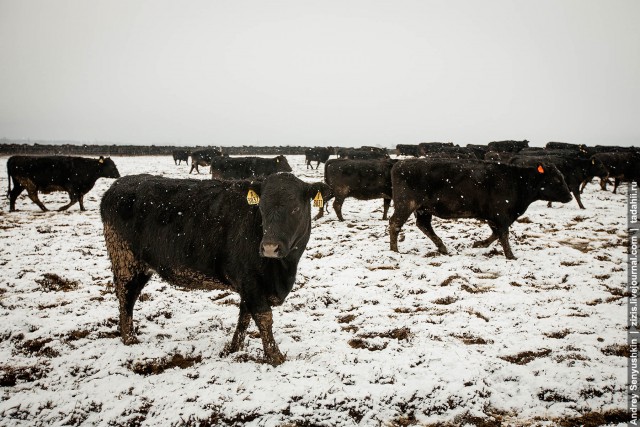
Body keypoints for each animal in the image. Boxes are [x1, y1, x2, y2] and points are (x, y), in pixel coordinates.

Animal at [101, 172, 330, 366]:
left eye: (295, 209)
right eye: (262, 208)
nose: (269, 247)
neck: (283, 269)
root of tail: (117, 185)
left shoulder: (250, 286)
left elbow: (244, 317)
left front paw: (233, 348)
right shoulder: (249, 280)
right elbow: (264, 317)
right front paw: (275, 356)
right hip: (125, 261)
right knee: (126, 298)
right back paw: (129, 339)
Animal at [388, 160, 572, 260]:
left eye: (563, 177)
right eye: (557, 179)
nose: (570, 197)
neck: (518, 181)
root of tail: (400, 163)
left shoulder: (493, 216)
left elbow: (496, 233)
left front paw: (479, 243)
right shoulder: (501, 215)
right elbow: (503, 234)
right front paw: (510, 256)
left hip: (423, 209)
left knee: (424, 225)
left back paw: (442, 247)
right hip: (406, 204)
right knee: (395, 224)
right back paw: (394, 251)